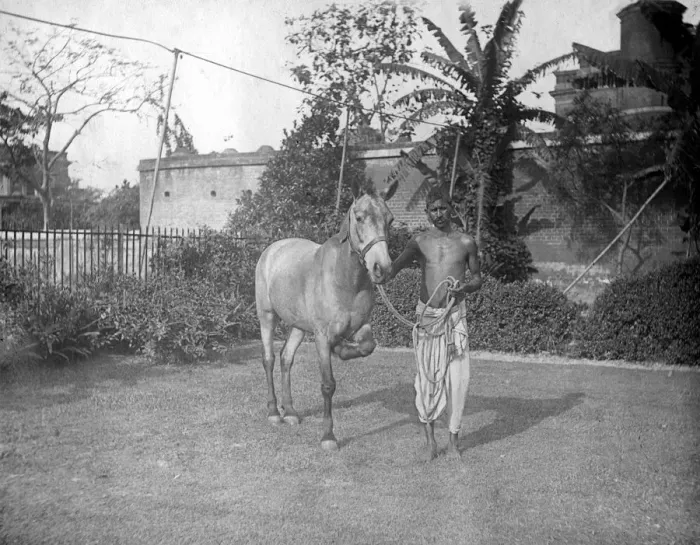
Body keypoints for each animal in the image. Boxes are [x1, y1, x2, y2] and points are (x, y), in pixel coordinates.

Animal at [255, 179, 397, 450]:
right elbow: (328, 384)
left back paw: (290, 412)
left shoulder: (361, 326)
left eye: (390, 219)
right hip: (267, 316)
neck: (344, 279)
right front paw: (328, 436)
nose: (381, 269)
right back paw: (274, 412)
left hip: (298, 326)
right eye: (359, 217)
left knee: (286, 358)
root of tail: (272, 249)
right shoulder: (321, 335)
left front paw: (341, 349)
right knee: (268, 359)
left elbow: (367, 346)